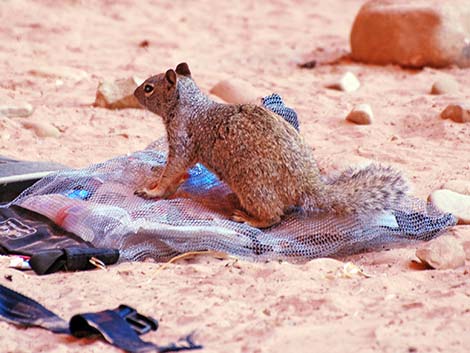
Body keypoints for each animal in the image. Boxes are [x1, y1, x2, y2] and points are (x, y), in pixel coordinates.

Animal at [132, 62, 408, 228]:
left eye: (148, 88)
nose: (133, 93)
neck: (189, 105)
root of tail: (307, 186)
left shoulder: (182, 139)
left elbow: (172, 168)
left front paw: (152, 190)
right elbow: (178, 172)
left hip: (252, 184)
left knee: (274, 216)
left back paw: (249, 218)